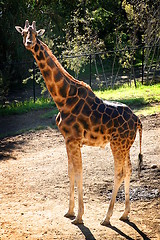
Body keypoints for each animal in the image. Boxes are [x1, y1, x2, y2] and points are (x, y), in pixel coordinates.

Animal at [15, 20, 142, 225]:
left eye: (35, 33)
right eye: (24, 32)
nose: (28, 42)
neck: (62, 99)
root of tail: (138, 120)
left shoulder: (74, 140)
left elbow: (80, 172)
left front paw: (79, 217)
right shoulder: (67, 140)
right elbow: (71, 172)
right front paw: (69, 211)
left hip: (117, 144)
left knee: (119, 172)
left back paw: (106, 218)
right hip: (125, 145)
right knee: (129, 170)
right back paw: (124, 214)